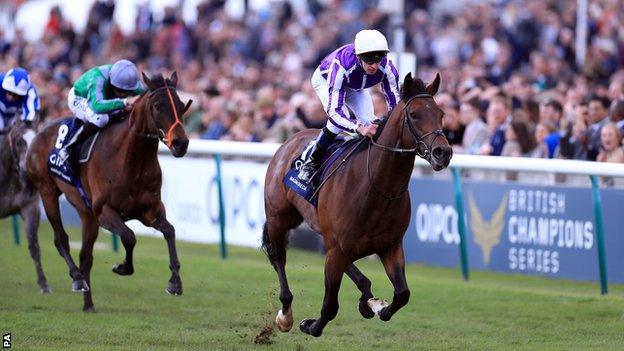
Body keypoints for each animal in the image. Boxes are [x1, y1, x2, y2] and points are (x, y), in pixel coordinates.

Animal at [0, 120, 50, 294]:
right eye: (18, 141)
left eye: (37, 139)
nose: (28, 170)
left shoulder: (30, 208)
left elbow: (34, 247)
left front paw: (43, 284)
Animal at [25, 71, 193, 310]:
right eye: (157, 106)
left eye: (181, 105)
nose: (181, 143)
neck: (131, 161)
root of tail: (40, 132)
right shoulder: (105, 211)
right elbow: (129, 237)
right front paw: (122, 267)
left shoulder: (150, 211)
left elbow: (170, 231)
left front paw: (175, 282)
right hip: (47, 192)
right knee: (61, 240)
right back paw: (77, 278)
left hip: (86, 213)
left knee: (86, 256)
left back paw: (88, 304)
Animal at [260, 71, 450, 336]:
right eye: (414, 115)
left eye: (441, 114)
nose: (443, 152)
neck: (378, 188)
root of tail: (290, 139)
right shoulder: (339, 248)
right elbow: (330, 306)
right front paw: (310, 325)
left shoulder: (390, 246)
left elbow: (403, 294)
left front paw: (379, 307)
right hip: (279, 218)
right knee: (278, 258)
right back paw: (285, 314)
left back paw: (367, 298)